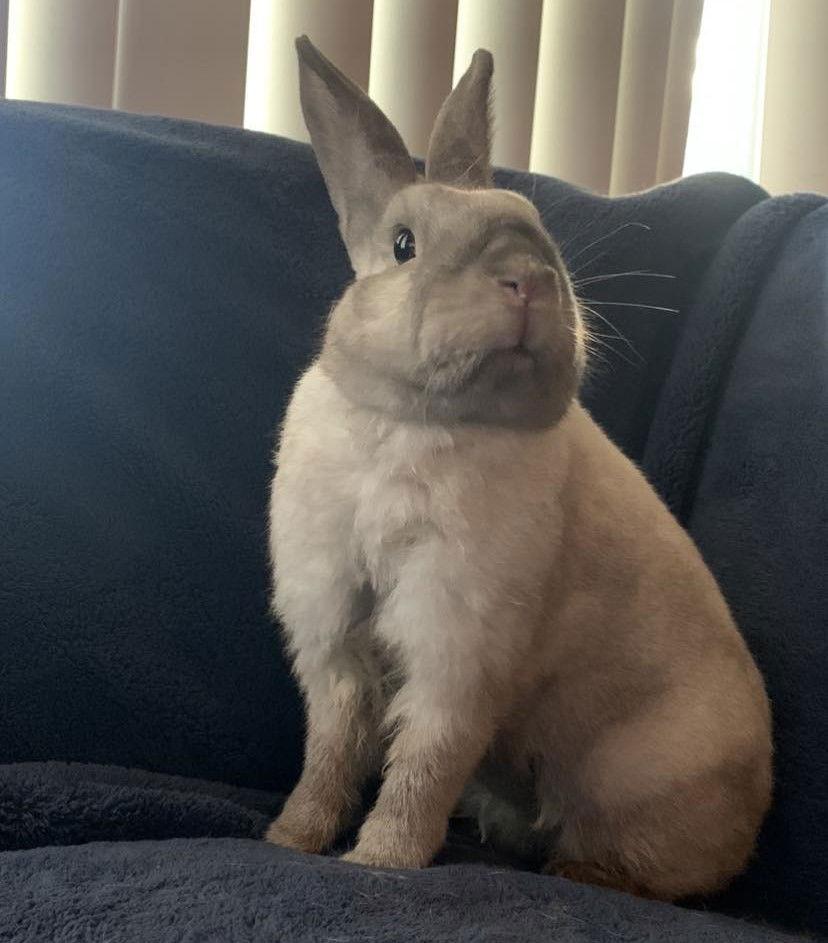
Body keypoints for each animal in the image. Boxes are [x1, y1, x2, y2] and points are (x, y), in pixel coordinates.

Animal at [265, 35, 772, 902]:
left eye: (537, 226)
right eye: (403, 244)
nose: (528, 278)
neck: (420, 421)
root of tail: (755, 820)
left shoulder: (459, 649)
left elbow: (422, 765)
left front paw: (381, 861)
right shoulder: (333, 631)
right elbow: (329, 752)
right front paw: (289, 839)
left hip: (638, 787)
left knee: (652, 872)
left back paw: (579, 868)